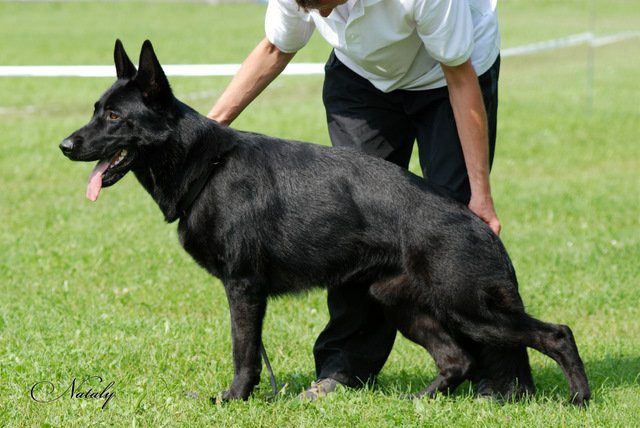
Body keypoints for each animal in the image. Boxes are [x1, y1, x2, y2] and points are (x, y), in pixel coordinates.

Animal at [60, 40, 592, 404]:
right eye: (95, 110)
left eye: (113, 116)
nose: (65, 146)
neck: (205, 165)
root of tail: (475, 220)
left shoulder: (243, 288)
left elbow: (244, 352)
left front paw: (234, 399)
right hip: (402, 305)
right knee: (456, 358)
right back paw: (421, 401)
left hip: (470, 308)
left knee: (557, 334)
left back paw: (579, 399)